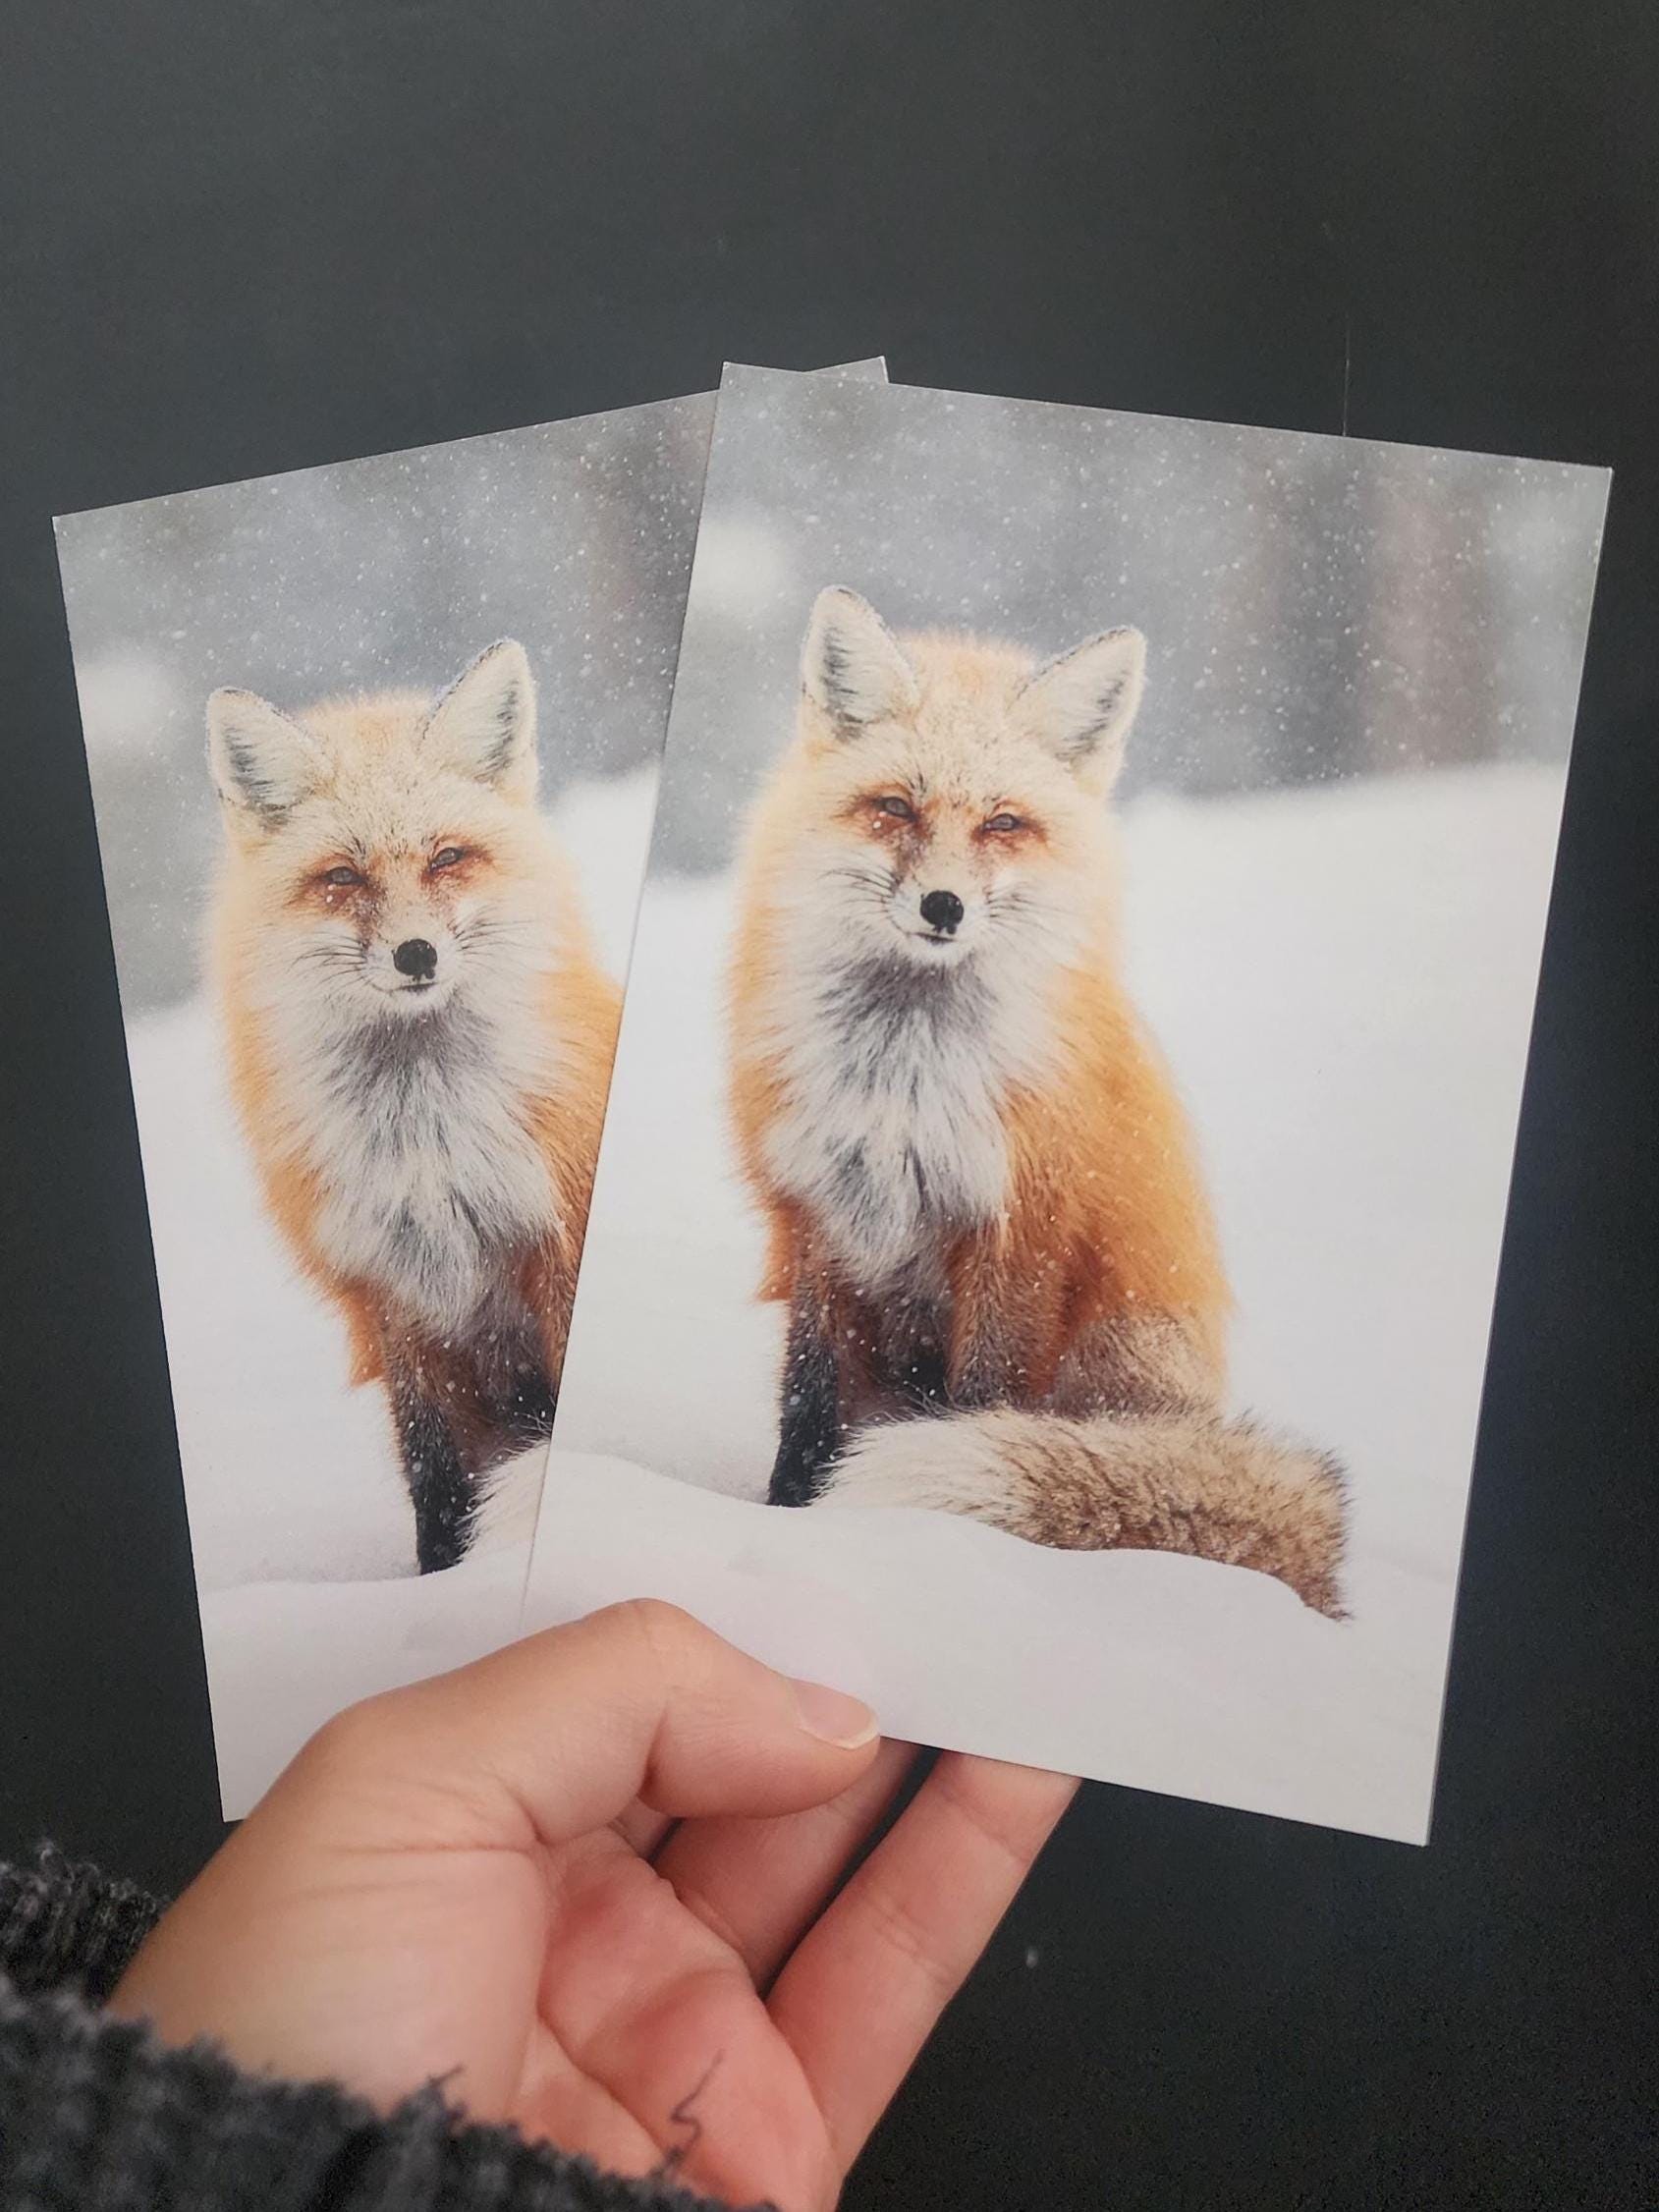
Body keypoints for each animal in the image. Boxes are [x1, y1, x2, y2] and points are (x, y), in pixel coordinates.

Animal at [206, 639, 621, 1574]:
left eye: (446, 858)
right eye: (342, 876)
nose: (416, 954)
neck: (431, 1149)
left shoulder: (555, 1256)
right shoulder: (394, 1300)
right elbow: (432, 1474)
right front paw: (439, 1582)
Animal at [726, 588, 1347, 1617]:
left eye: (1003, 824)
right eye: (894, 807)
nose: (942, 907)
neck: (905, 1081)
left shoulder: (1019, 1230)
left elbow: (981, 1398)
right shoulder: (823, 1215)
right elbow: (807, 1401)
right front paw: (780, 1519)